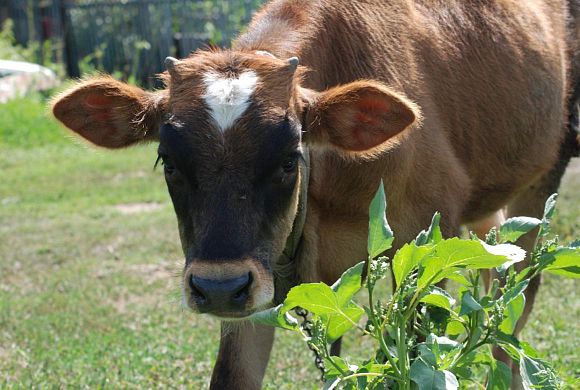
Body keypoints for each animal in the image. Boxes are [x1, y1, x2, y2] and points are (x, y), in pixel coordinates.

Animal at [52, 0, 576, 386]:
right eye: (170, 161)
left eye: (289, 159)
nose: (216, 287)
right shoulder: (257, 279)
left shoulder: (429, 241)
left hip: (542, 181)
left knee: (509, 317)